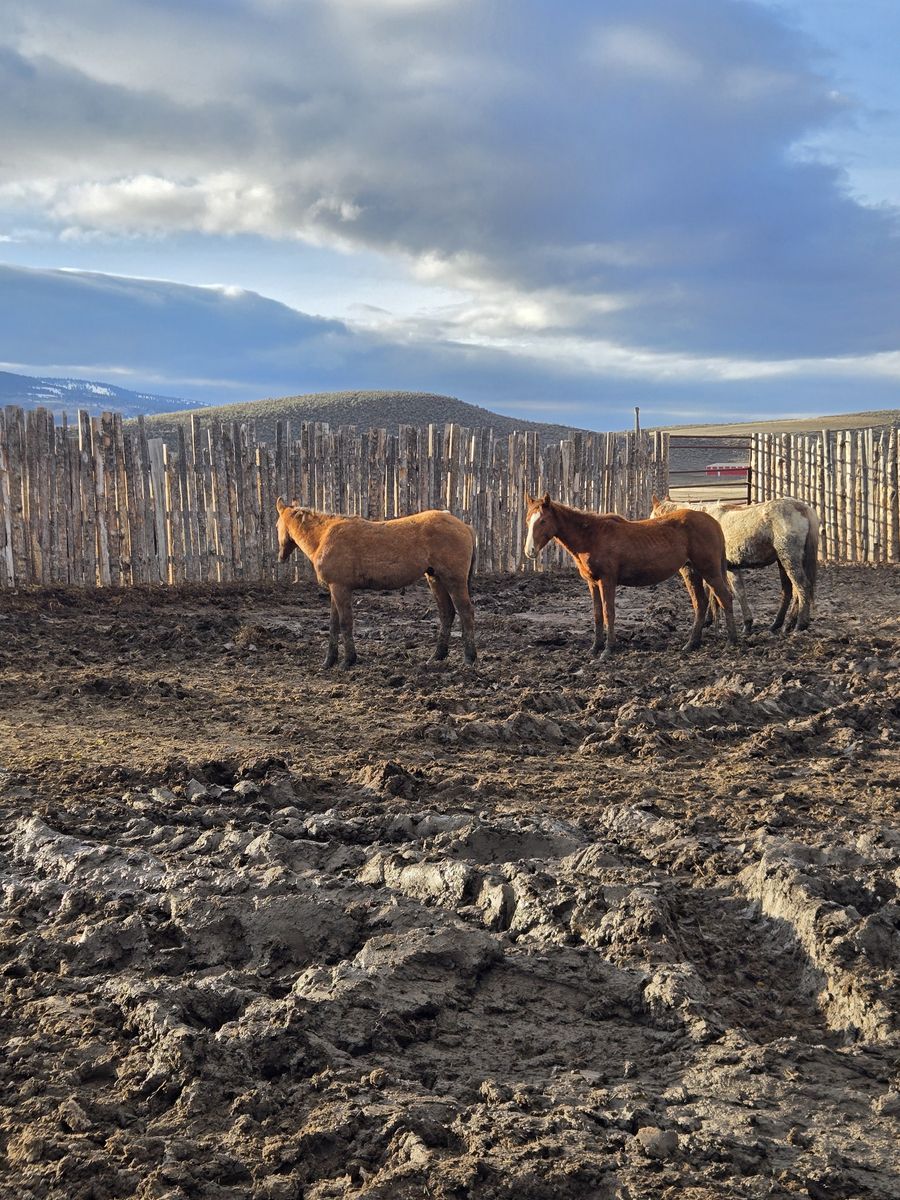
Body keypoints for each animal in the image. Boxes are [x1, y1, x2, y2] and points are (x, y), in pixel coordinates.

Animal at [275, 498, 476, 668]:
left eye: (277, 525)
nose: (280, 557)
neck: (324, 536)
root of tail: (465, 526)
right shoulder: (334, 589)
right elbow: (333, 625)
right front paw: (328, 662)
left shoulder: (340, 588)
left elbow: (345, 623)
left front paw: (348, 661)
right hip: (435, 579)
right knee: (447, 613)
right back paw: (437, 656)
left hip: (454, 580)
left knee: (465, 612)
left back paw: (469, 658)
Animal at [523, 494, 737, 659]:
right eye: (527, 520)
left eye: (542, 521)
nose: (529, 551)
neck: (591, 536)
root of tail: (714, 522)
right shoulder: (592, 583)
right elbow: (597, 614)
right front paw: (595, 648)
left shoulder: (607, 581)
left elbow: (609, 613)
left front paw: (608, 650)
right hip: (691, 572)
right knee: (700, 603)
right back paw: (692, 644)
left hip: (709, 571)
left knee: (725, 598)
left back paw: (731, 642)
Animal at [650, 496, 819, 633]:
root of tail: (804, 509)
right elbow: (723, 593)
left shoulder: (725, 569)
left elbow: (731, 594)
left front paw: (738, 624)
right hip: (784, 562)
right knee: (791, 591)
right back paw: (781, 624)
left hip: (788, 559)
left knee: (802, 587)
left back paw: (799, 624)